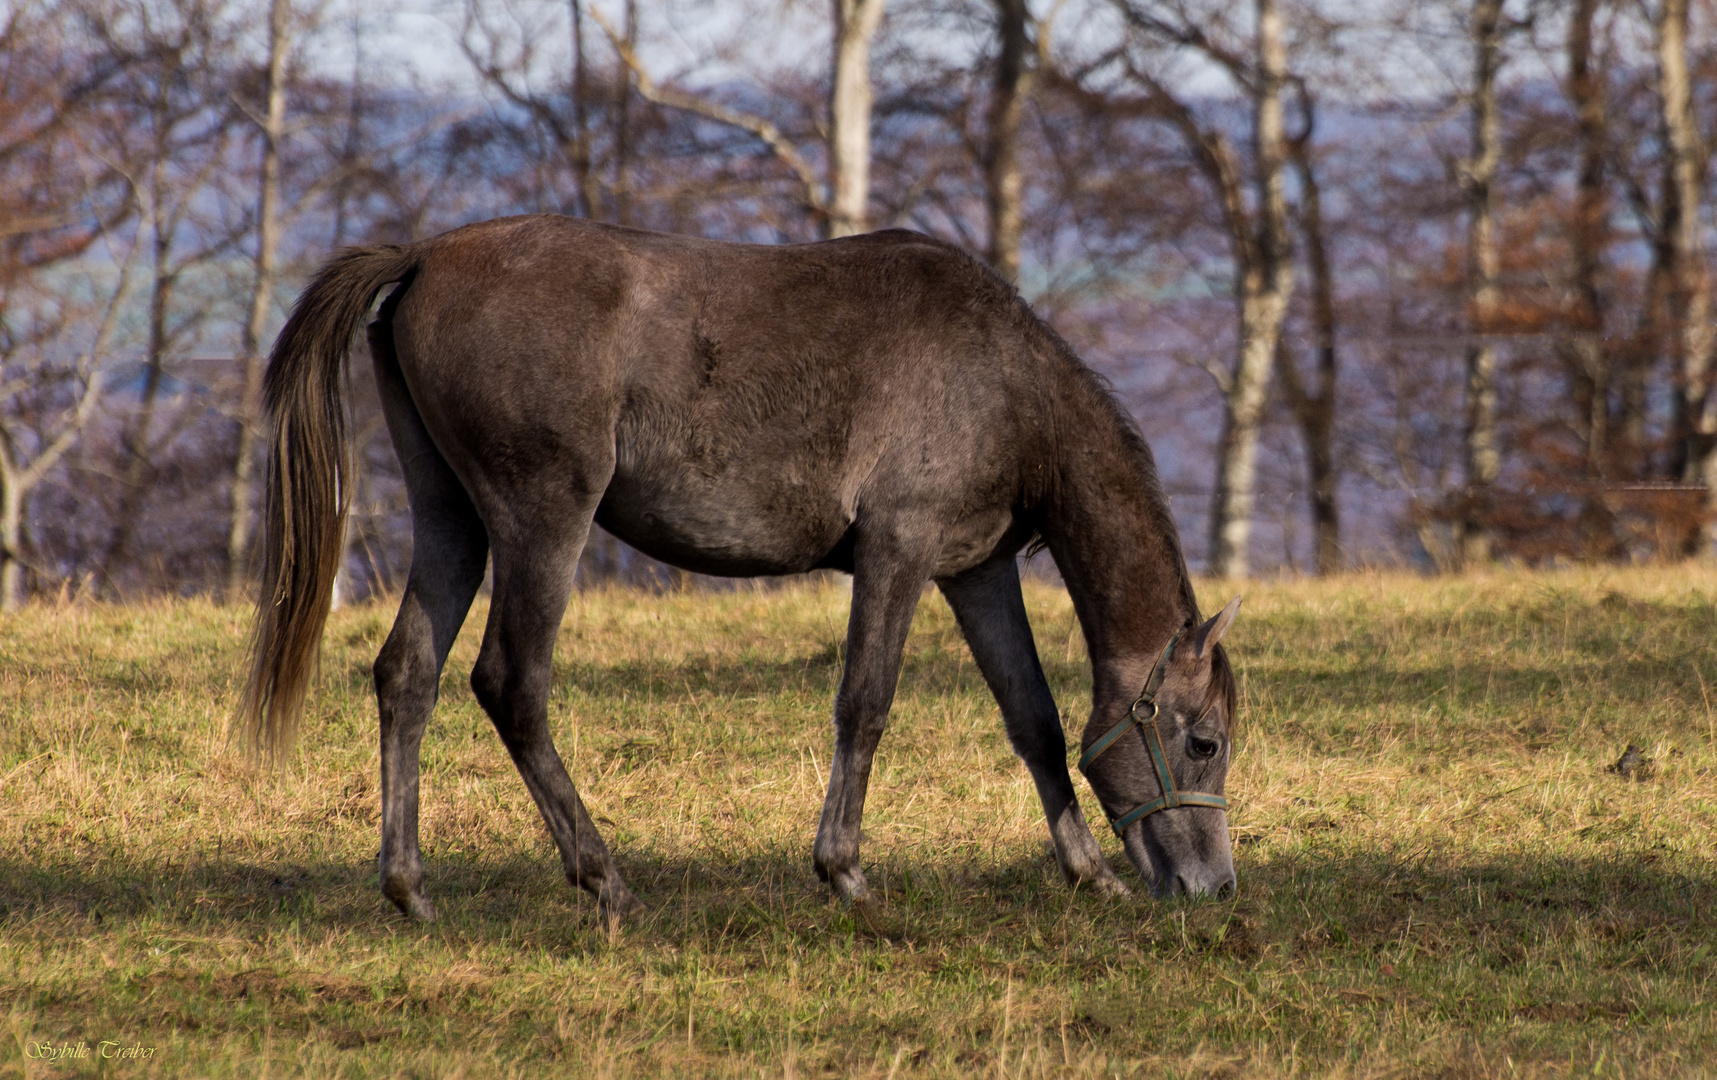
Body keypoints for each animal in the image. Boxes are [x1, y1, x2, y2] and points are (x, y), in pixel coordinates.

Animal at [238, 214, 1236, 920]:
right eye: (1204, 742)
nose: (1214, 889)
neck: (1000, 378)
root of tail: (425, 256)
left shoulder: (974, 570)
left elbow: (1031, 716)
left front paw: (1088, 872)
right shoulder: (898, 553)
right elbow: (865, 705)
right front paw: (845, 873)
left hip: (453, 520)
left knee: (407, 673)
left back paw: (409, 887)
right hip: (542, 519)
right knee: (511, 685)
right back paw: (606, 880)